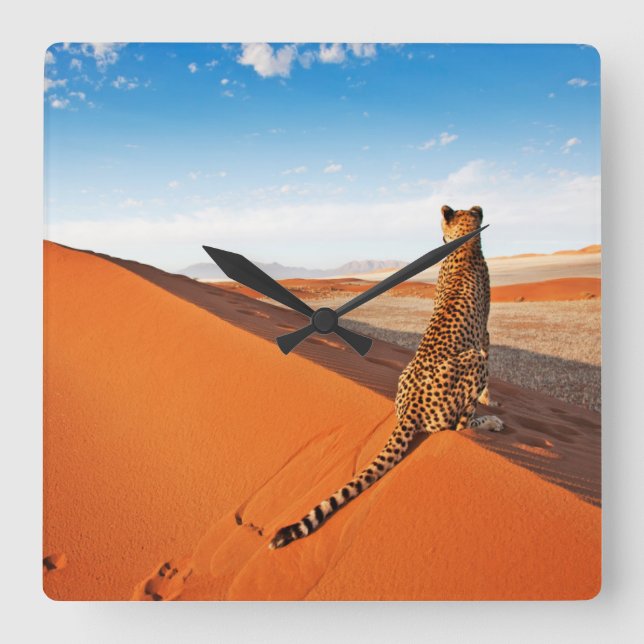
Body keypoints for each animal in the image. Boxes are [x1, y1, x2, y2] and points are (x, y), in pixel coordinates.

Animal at [269, 205, 503, 550]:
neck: (464, 243)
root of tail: (411, 408)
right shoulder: (483, 337)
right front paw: (492, 402)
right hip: (471, 363)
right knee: (457, 428)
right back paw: (489, 423)